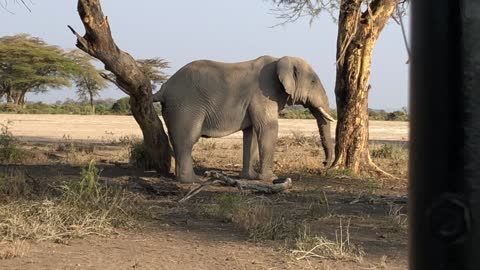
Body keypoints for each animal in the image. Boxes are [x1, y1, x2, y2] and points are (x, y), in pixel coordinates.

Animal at [154, 55, 334, 182]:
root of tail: (164, 87)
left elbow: (251, 133)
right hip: (186, 106)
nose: (324, 165)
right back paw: (193, 180)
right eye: (313, 81)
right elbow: (267, 129)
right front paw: (271, 179)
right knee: (187, 140)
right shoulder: (263, 94)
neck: (280, 59)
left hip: (175, 107)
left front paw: (250, 177)